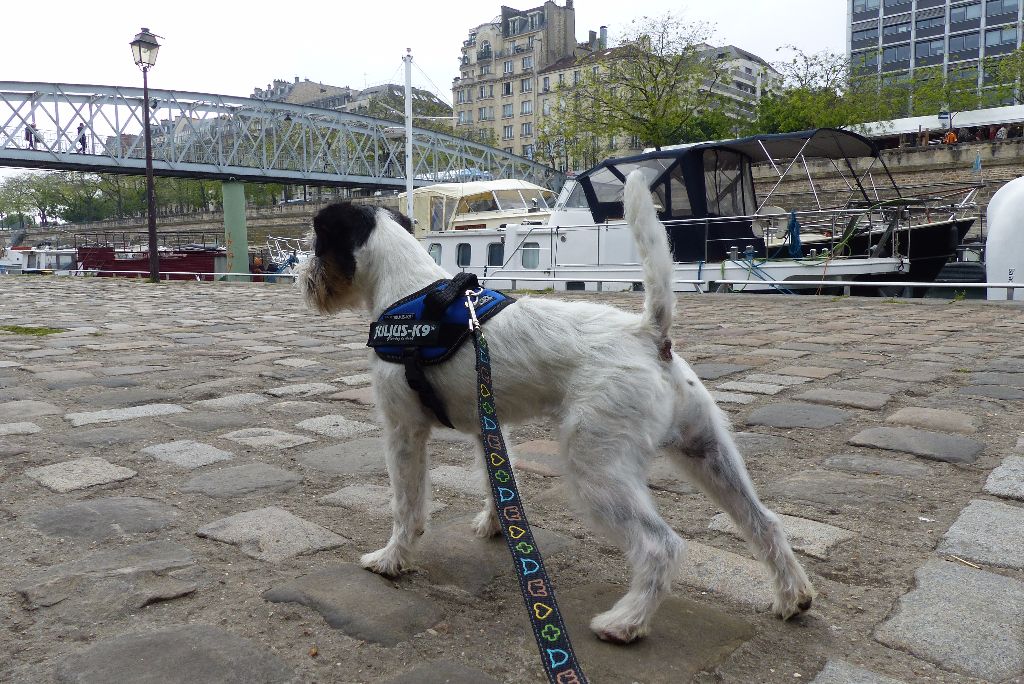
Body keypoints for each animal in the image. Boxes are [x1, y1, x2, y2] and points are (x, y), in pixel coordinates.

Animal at [299, 172, 815, 647]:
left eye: (317, 243)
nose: (304, 279)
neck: (411, 290)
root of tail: (649, 333)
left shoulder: (403, 432)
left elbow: (407, 506)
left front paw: (391, 560)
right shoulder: (487, 426)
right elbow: (495, 480)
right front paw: (497, 525)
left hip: (596, 470)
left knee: (660, 545)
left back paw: (625, 622)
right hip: (707, 452)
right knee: (764, 522)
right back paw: (793, 597)